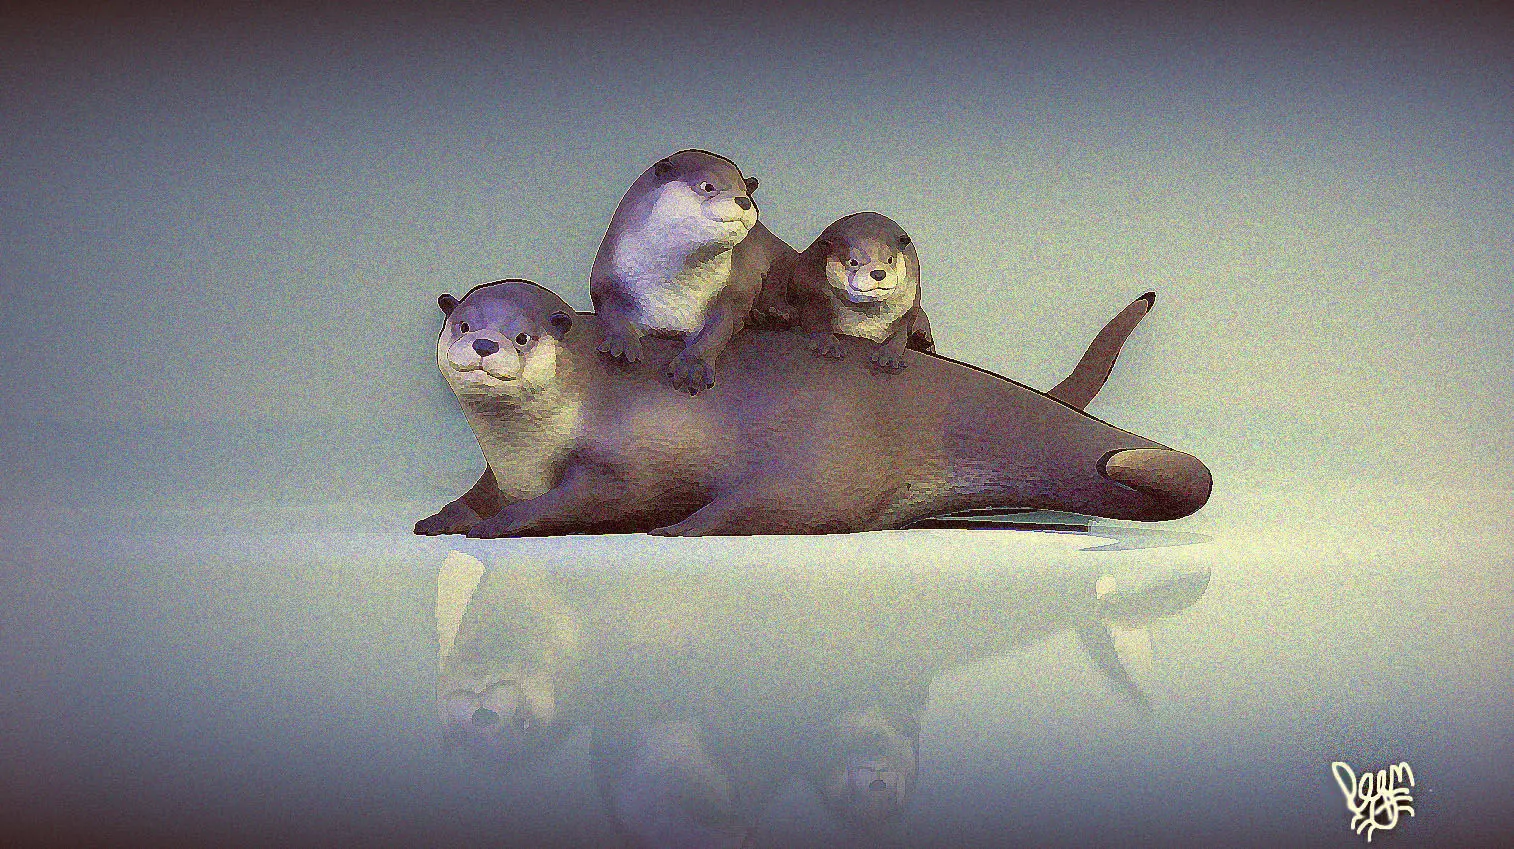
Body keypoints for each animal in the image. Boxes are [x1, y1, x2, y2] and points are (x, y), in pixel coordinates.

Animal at [414, 279, 1210, 538]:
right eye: (462, 321)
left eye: (522, 333)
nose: (484, 342)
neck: (529, 448)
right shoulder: (497, 471)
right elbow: (475, 497)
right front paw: (441, 519)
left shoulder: (621, 459)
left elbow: (580, 498)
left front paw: (493, 527)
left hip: (821, 455)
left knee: (776, 506)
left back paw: (682, 527)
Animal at [590, 149, 796, 394]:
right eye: (708, 186)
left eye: (745, 191)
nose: (744, 201)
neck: (670, 292)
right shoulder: (607, 282)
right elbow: (612, 315)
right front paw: (621, 345)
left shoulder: (727, 295)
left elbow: (717, 331)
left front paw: (692, 367)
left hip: (783, 258)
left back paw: (774, 314)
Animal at [772, 212, 935, 370]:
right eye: (853, 261)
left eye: (890, 259)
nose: (878, 273)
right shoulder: (813, 289)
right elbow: (815, 319)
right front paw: (828, 344)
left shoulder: (909, 308)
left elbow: (900, 335)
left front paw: (889, 356)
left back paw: (921, 338)